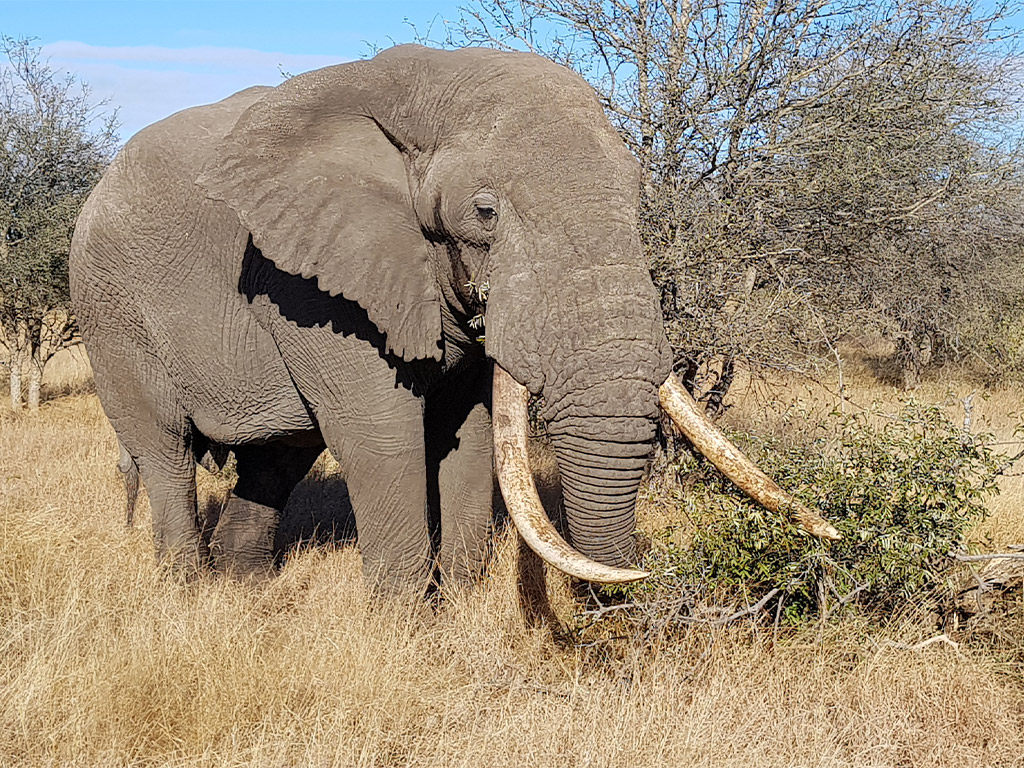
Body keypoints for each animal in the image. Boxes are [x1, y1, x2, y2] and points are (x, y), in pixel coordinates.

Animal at [72, 45, 839, 593]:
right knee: (166, 452)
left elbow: (469, 431)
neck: (423, 82)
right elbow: (381, 436)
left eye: (637, 200)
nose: (642, 579)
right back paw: (187, 594)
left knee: (276, 456)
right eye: (485, 212)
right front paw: (406, 628)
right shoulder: (312, 280)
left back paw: (245, 591)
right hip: (109, 313)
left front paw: (463, 602)